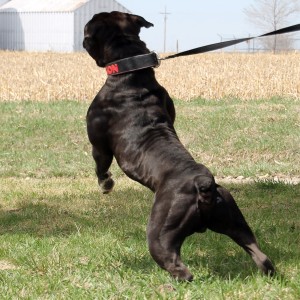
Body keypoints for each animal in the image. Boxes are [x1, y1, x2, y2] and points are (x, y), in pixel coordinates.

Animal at [82, 9, 274, 282]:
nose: (83, 37)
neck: (131, 72)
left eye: (89, 29)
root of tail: (204, 185)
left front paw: (105, 185)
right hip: (234, 221)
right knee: (259, 254)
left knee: (178, 266)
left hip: (160, 232)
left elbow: (100, 166)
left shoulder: (99, 145)